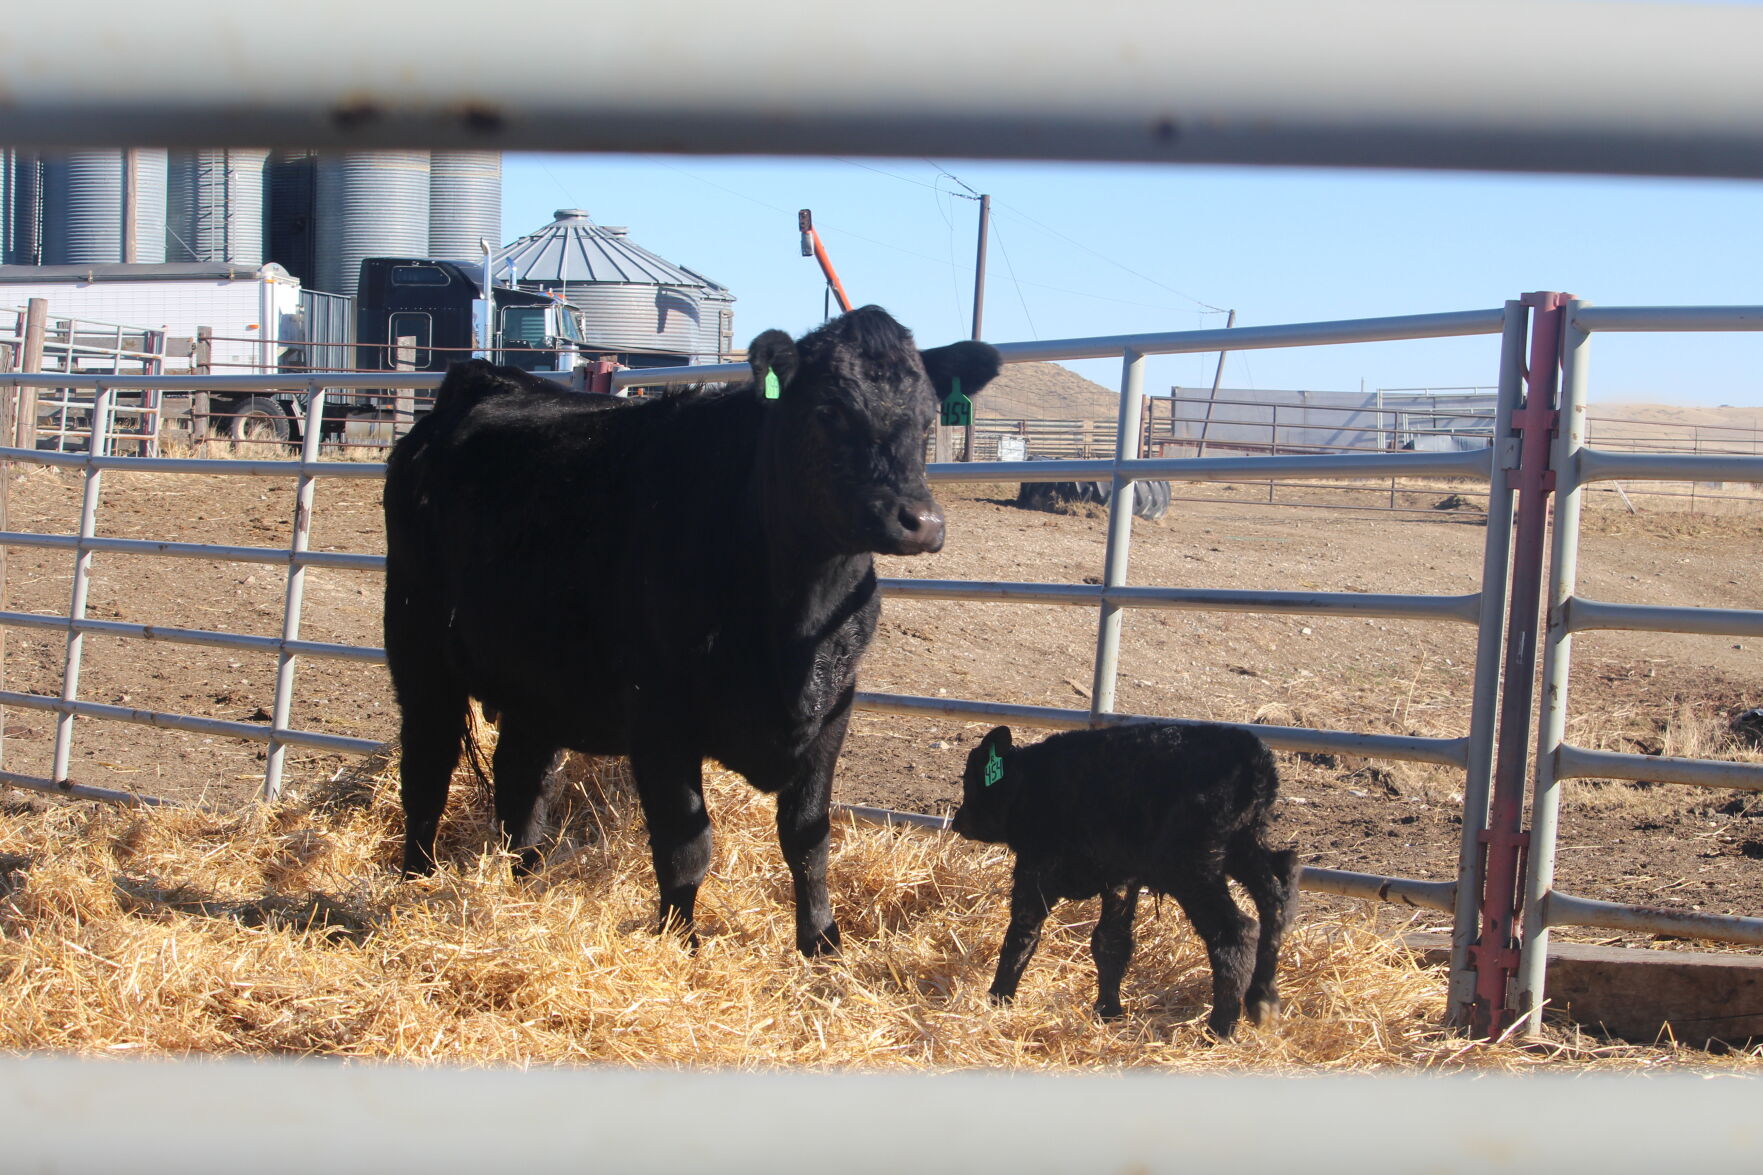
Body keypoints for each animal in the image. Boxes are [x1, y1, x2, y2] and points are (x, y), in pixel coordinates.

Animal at [383, 305, 1000, 956]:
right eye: (829, 410)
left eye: (928, 418)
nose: (921, 521)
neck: (795, 621)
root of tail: (487, 379)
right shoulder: (658, 716)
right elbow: (686, 844)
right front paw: (679, 941)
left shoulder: (834, 709)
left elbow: (808, 839)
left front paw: (822, 943)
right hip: (417, 644)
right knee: (427, 764)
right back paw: (416, 879)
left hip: (537, 677)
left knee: (521, 780)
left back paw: (524, 884)